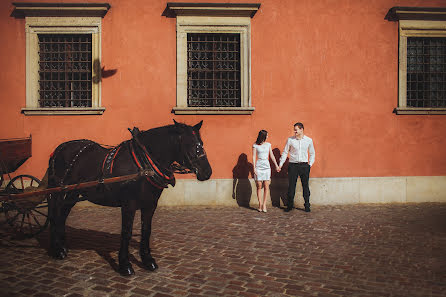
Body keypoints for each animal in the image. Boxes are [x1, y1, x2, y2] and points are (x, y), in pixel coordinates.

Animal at [46, 120, 213, 276]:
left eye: (202, 143)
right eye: (190, 144)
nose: (207, 172)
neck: (144, 164)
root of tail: (58, 149)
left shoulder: (150, 205)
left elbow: (146, 230)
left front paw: (148, 261)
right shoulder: (129, 205)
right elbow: (126, 232)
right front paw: (125, 265)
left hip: (73, 192)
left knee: (62, 215)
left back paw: (63, 245)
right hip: (58, 191)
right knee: (55, 215)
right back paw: (57, 249)